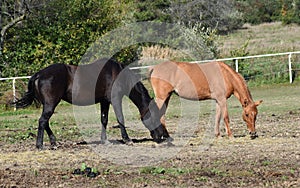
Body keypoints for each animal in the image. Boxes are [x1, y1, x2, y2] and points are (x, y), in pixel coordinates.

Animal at [14, 58, 170, 149]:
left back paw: (53, 142)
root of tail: (38, 74)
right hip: (50, 104)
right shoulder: (115, 100)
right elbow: (120, 118)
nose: (160, 137)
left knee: (44, 121)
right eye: (155, 116)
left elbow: (104, 120)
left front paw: (104, 140)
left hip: (48, 104)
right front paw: (127, 139)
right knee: (42, 121)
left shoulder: (104, 102)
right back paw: (40, 145)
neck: (117, 73)